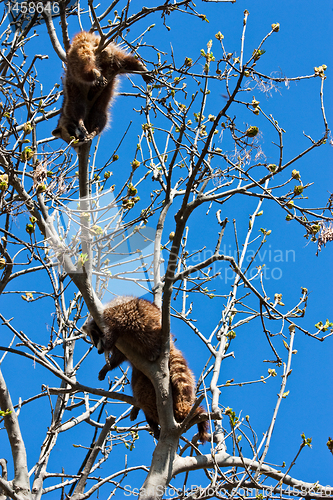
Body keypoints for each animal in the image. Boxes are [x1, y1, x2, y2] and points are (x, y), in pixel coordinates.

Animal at [83, 296, 208, 442]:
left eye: (96, 338)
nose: (99, 351)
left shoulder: (116, 314)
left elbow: (114, 329)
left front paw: (108, 345)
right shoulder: (121, 348)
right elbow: (118, 357)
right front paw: (107, 367)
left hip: (145, 320)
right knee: (137, 383)